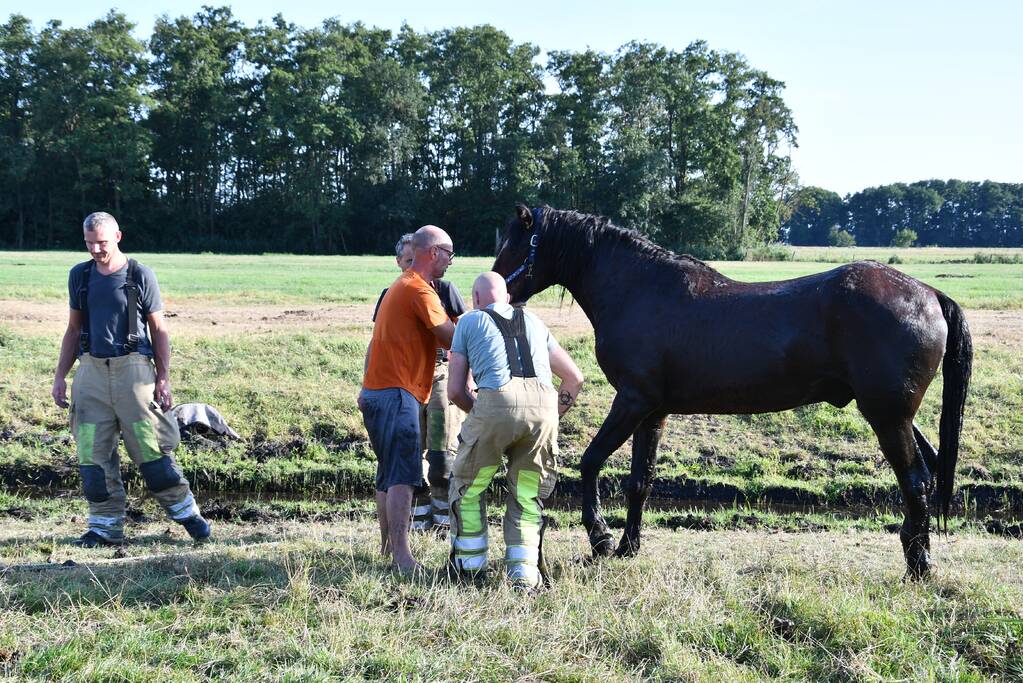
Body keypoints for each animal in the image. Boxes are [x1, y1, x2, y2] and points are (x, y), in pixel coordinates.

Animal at [495, 204, 973, 576]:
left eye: (515, 245)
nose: (493, 291)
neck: (639, 291)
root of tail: (929, 293)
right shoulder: (653, 411)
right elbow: (640, 481)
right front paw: (629, 546)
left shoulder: (632, 400)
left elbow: (591, 461)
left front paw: (601, 538)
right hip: (895, 415)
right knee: (929, 471)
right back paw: (918, 552)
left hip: (887, 417)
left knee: (915, 479)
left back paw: (919, 565)